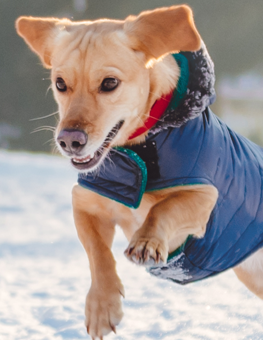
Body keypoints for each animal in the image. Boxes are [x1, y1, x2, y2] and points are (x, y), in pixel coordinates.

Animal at [16, 5, 263, 340]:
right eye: (60, 84)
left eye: (109, 83)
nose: (69, 141)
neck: (139, 149)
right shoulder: (84, 202)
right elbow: (97, 254)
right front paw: (102, 307)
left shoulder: (204, 196)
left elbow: (164, 208)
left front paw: (147, 241)